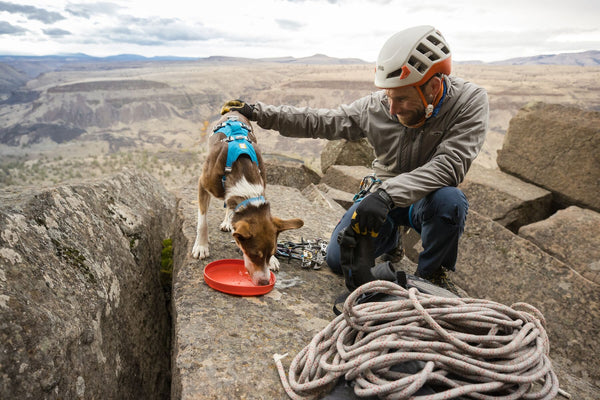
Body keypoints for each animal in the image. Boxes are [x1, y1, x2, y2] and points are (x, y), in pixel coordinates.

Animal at [192, 110, 304, 284]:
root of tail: (234, 110)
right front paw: (201, 246)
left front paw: (273, 261)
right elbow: (202, 222)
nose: (265, 282)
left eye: (272, 252)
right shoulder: (203, 184)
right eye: (253, 255)